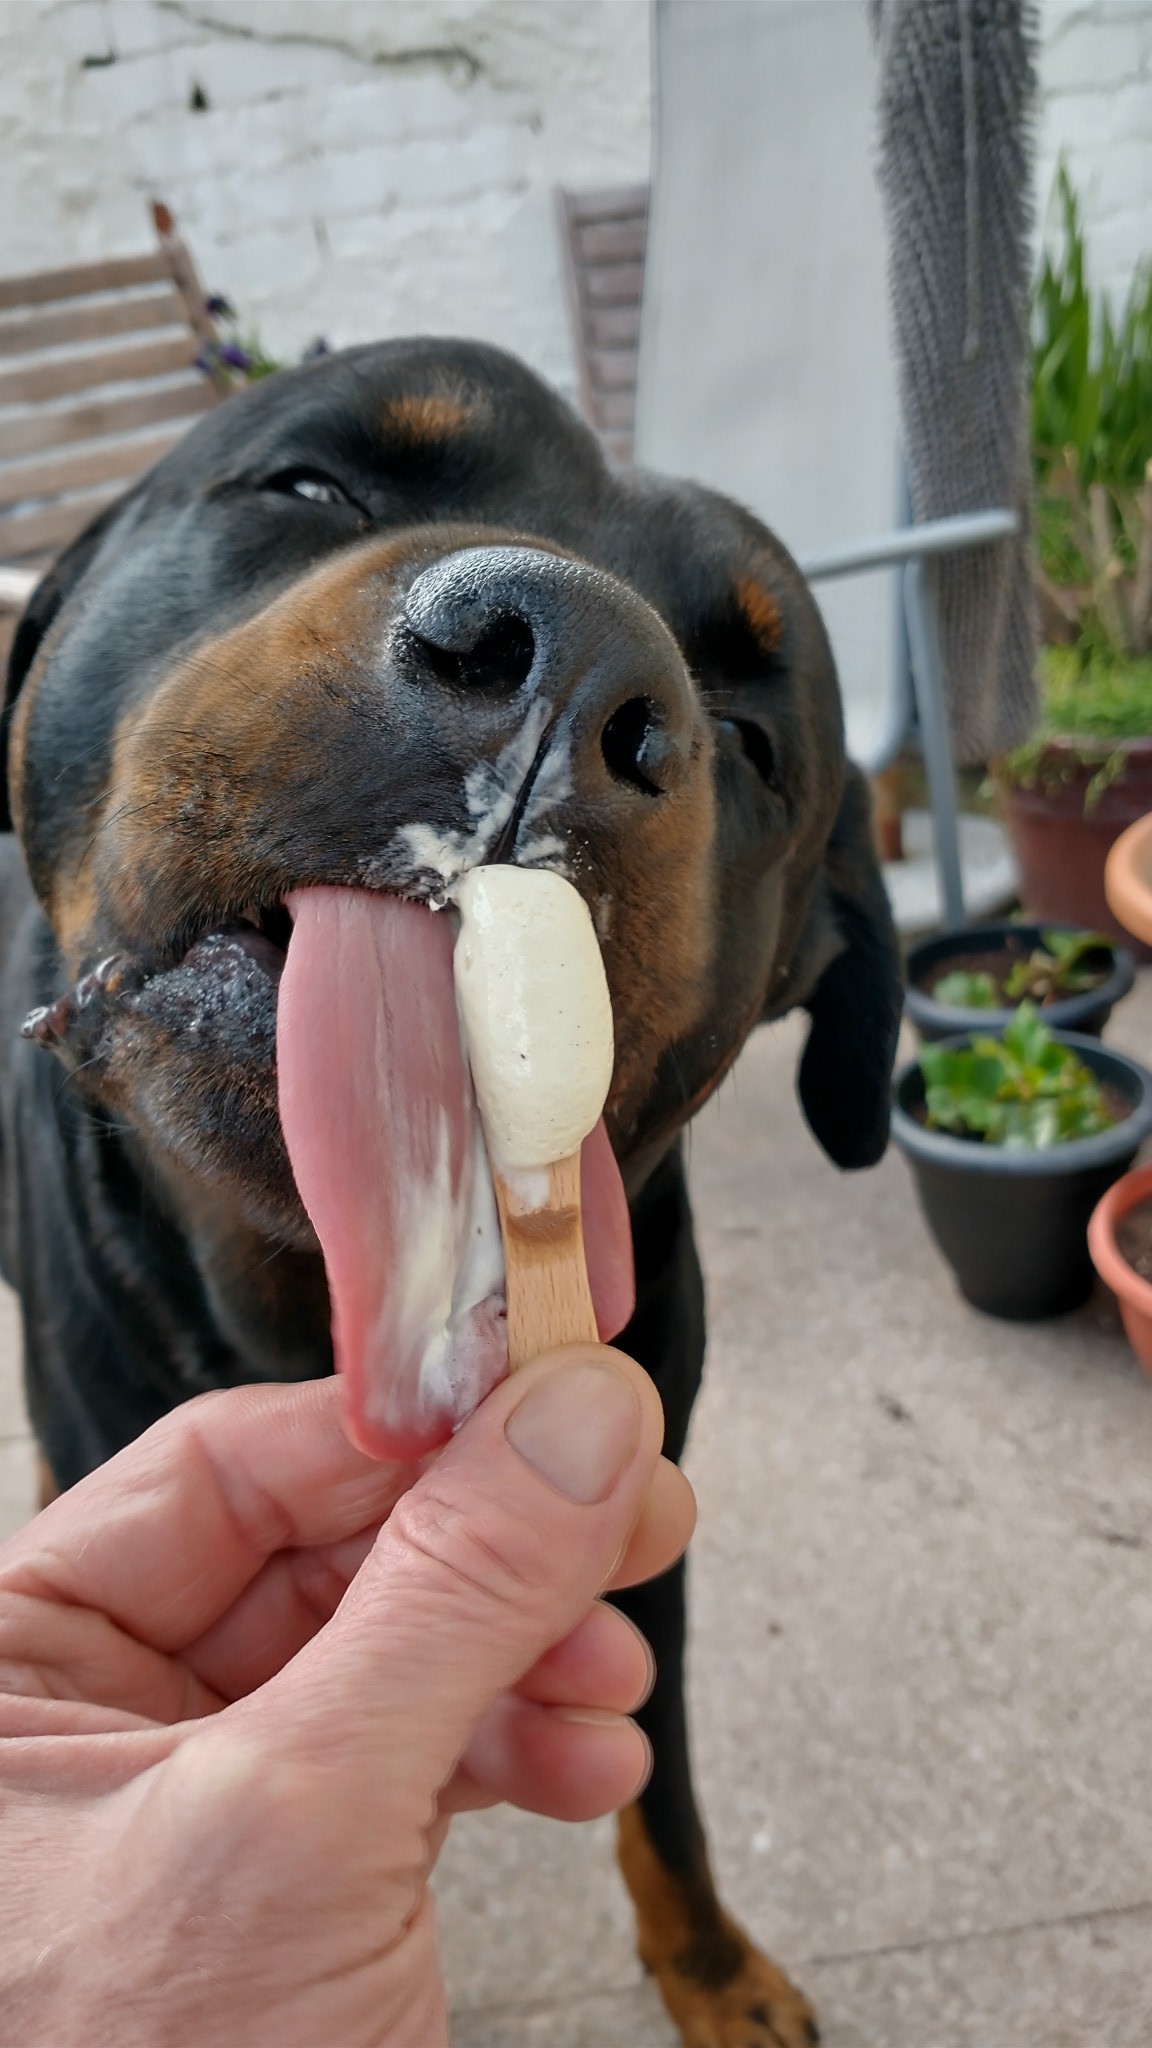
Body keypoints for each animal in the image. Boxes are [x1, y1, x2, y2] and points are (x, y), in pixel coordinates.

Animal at [0, 338, 901, 2048]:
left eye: (753, 736)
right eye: (311, 486)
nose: (572, 665)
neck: (322, 1293)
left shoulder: (650, 1510)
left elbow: (661, 1787)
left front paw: (712, 1968)